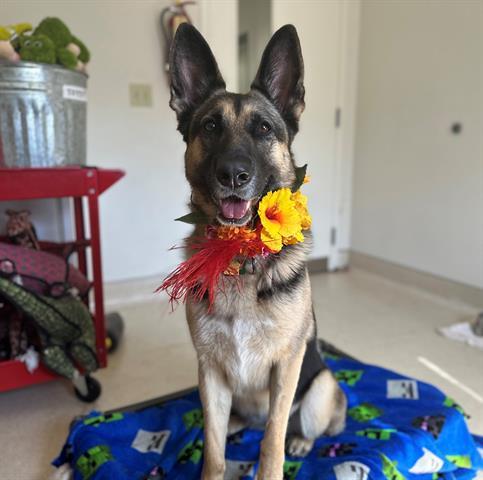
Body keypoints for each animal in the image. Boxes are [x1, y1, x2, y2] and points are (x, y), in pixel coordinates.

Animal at [170, 23, 348, 480]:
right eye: (210, 126)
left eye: (264, 129)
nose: (233, 174)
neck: (239, 256)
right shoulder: (210, 374)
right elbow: (213, 449)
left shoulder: (286, 368)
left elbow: (272, 441)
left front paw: (275, 459)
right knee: (231, 428)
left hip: (319, 388)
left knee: (308, 426)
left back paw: (304, 441)